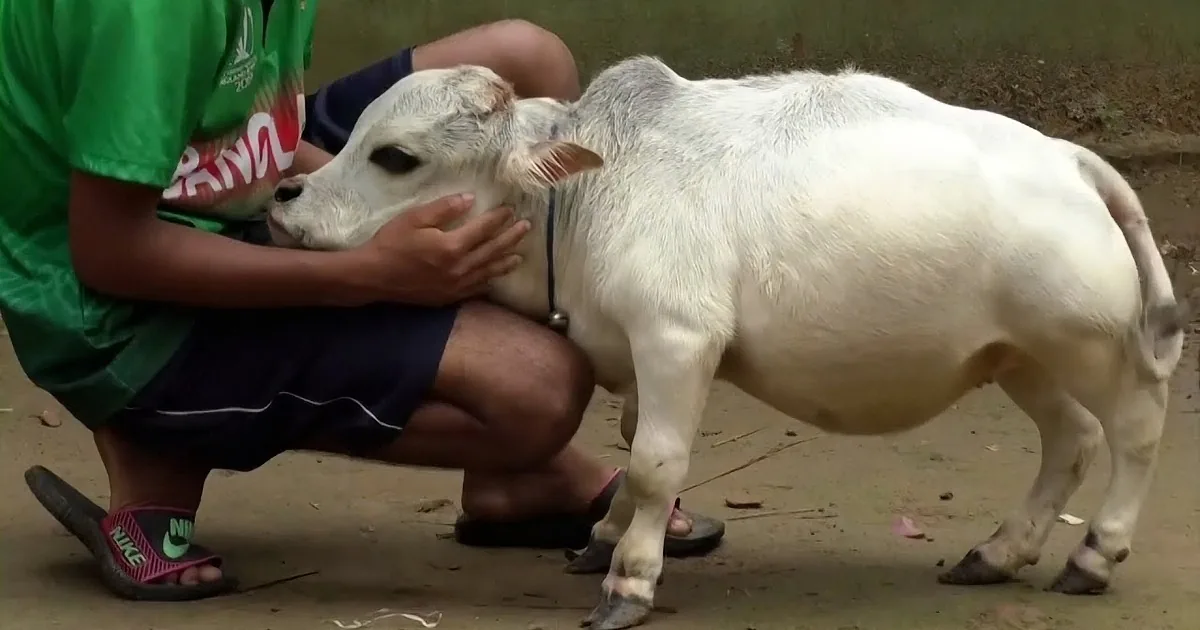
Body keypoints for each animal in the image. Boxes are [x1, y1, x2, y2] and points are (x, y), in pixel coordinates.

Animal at [265, 56, 1185, 629]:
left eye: (396, 157)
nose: (285, 200)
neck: (586, 196)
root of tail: (1071, 161)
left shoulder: (676, 338)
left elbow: (653, 463)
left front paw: (630, 578)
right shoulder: (637, 354)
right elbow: (634, 454)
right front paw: (606, 536)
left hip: (1091, 346)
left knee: (1135, 431)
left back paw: (1095, 554)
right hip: (1016, 356)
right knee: (1072, 438)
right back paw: (1000, 550)